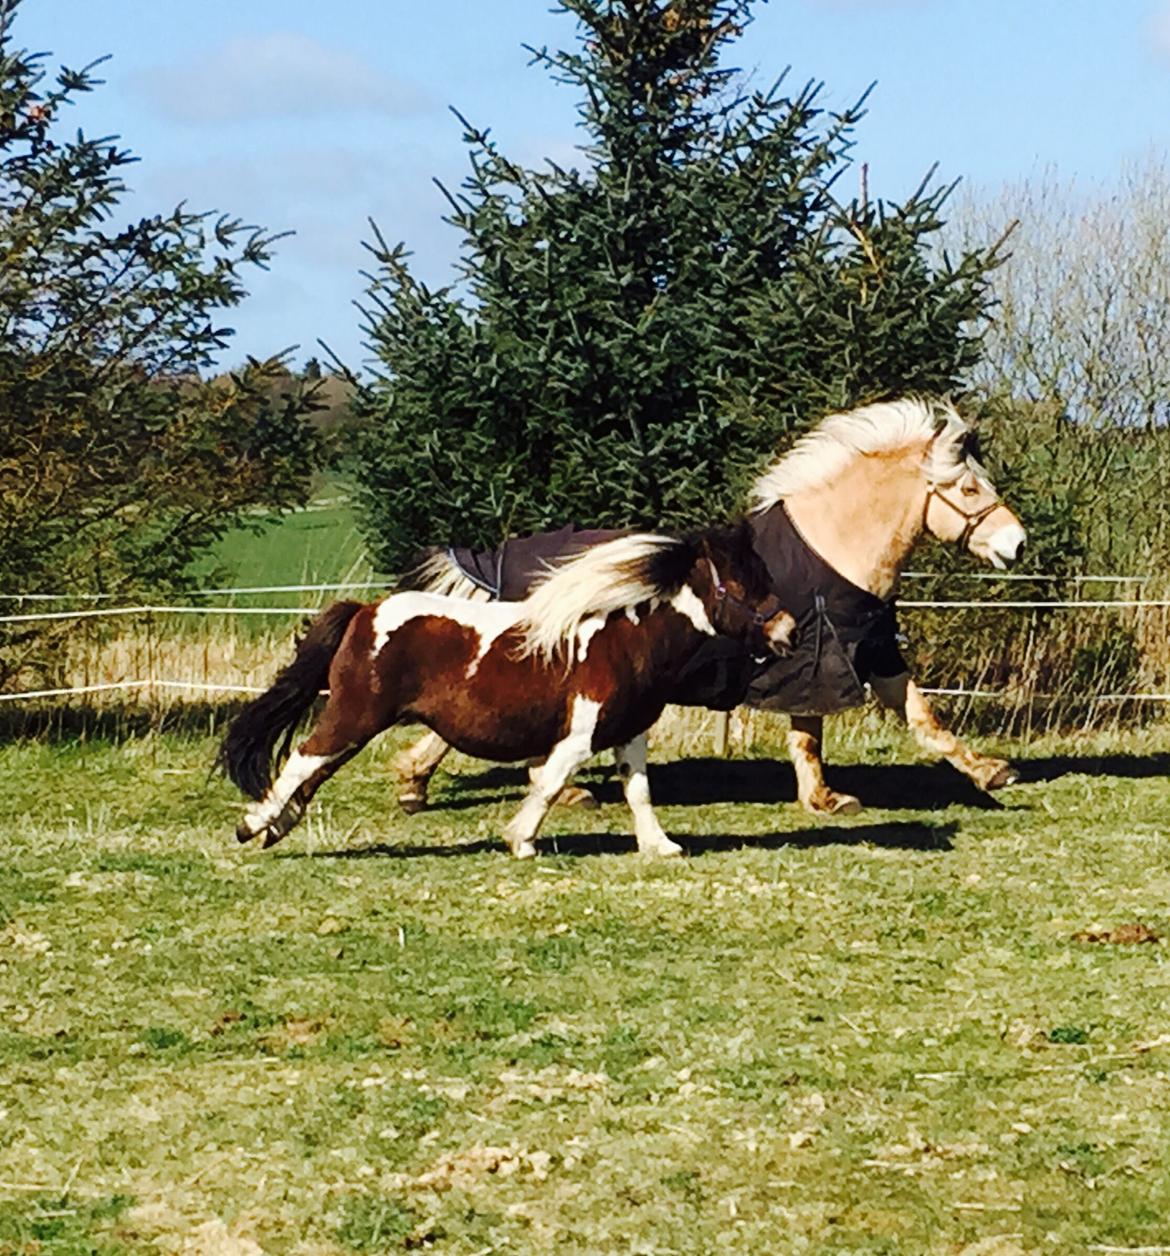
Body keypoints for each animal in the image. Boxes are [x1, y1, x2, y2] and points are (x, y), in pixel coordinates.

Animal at [222, 519, 793, 854]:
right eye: (739, 584)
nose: (787, 630)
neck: (622, 637)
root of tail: (365, 611)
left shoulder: (629, 735)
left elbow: (639, 792)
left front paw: (661, 846)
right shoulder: (578, 737)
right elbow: (549, 783)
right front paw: (522, 841)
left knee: (312, 770)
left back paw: (274, 827)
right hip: (354, 716)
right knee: (303, 761)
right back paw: (252, 826)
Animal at [391, 396, 1024, 818]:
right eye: (970, 490)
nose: (1015, 545)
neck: (830, 547)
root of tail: (497, 559)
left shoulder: (868, 651)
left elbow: (922, 718)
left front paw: (990, 772)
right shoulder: (817, 657)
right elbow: (810, 732)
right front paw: (824, 798)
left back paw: (417, 782)